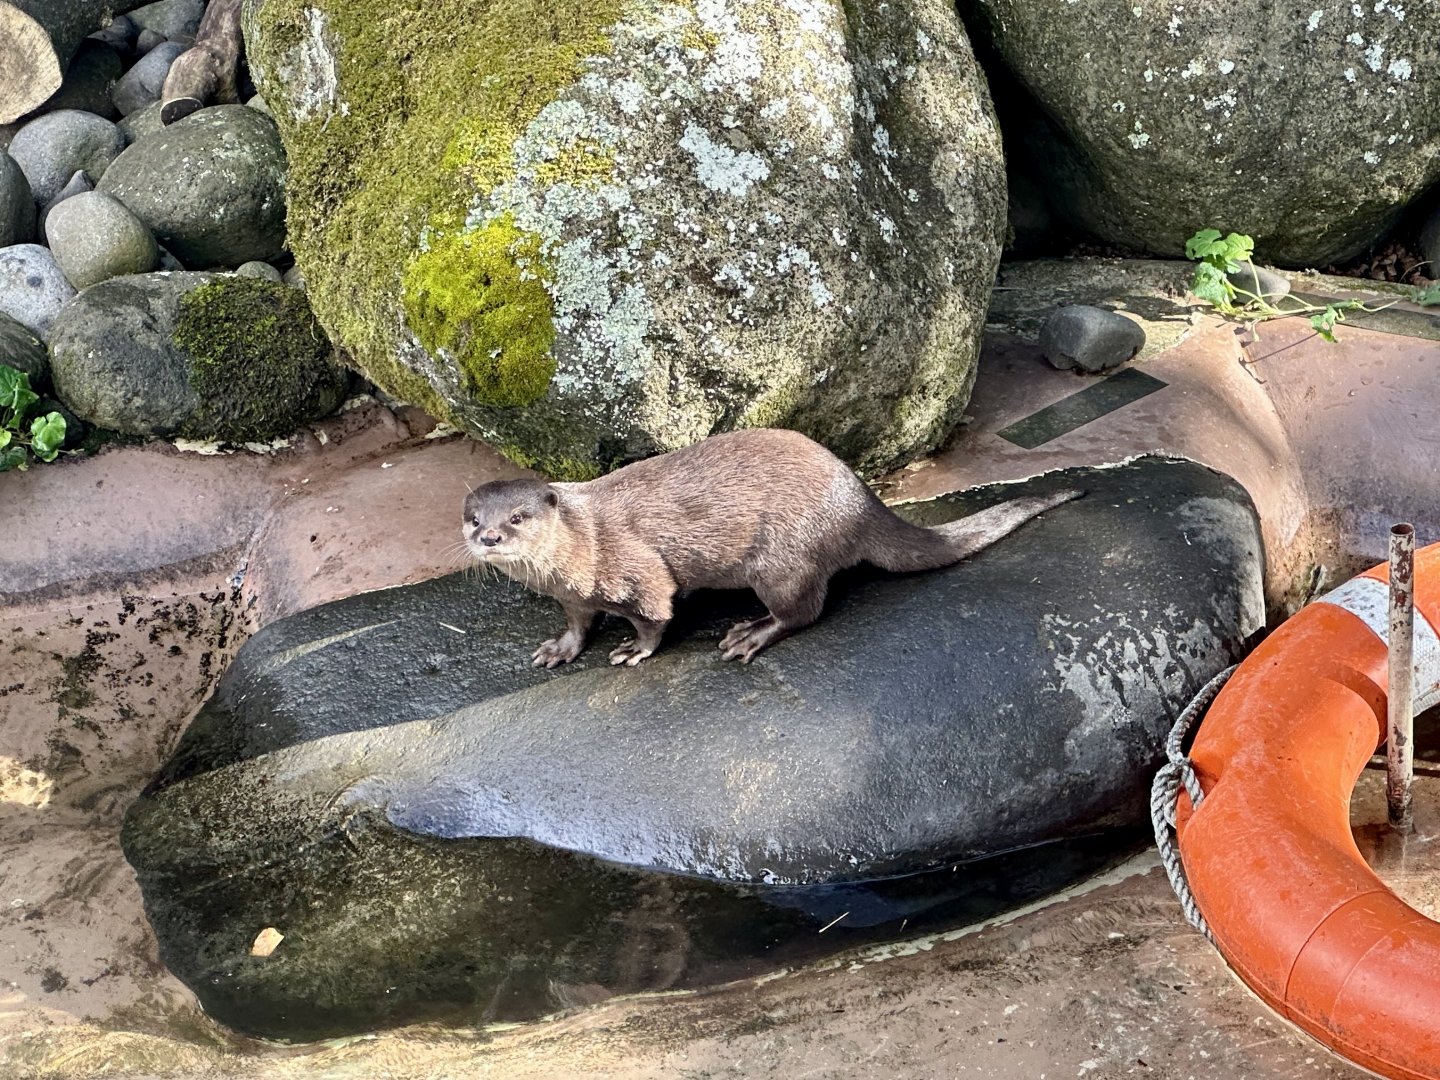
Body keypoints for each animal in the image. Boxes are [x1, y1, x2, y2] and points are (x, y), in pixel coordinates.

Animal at [462, 428, 1080, 667]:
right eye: (472, 518)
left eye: (517, 517)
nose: (490, 537)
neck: (581, 547)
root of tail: (860, 499)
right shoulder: (571, 595)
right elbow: (577, 621)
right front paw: (560, 648)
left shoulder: (634, 569)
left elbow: (657, 612)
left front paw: (635, 649)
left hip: (780, 558)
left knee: (805, 610)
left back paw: (750, 634)